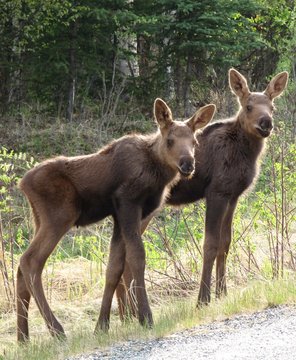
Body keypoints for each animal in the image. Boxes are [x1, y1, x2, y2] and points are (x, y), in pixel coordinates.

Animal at [16, 96, 215, 340]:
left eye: (194, 142)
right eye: (170, 140)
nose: (187, 164)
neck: (157, 173)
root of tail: (22, 183)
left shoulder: (120, 215)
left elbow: (114, 267)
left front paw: (102, 325)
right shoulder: (128, 203)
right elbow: (137, 257)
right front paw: (145, 317)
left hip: (40, 220)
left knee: (21, 268)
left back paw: (23, 338)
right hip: (59, 217)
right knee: (30, 261)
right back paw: (57, 330)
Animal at [116, 67, 290, 316]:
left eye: (272, 107)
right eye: (248, 106)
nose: (266, 122)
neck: (246, 154)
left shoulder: (233, 196)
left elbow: (225, 243)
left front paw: (223, 293)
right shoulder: (216, 192)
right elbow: (210, 244)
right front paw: (203, 299)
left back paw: (126, 315)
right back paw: (131, 313)